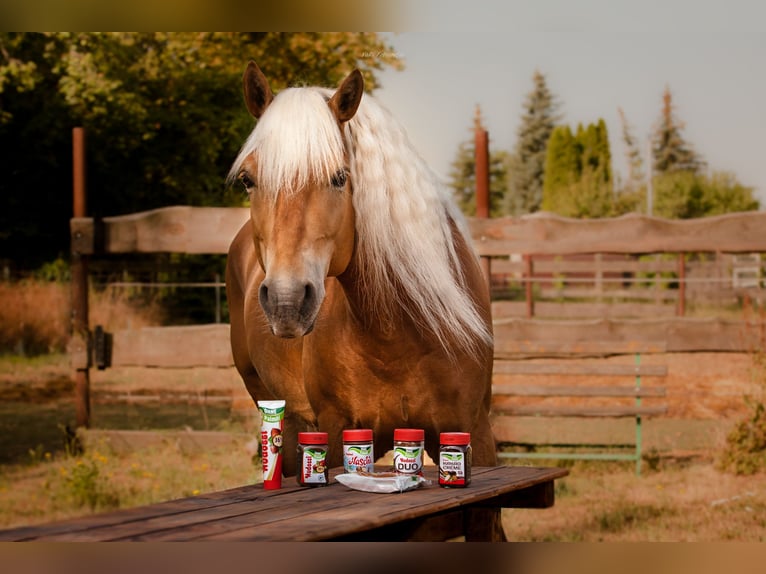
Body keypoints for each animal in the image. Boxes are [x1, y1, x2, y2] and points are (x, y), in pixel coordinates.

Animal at [226, 61, 497, 478]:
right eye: (247, 179)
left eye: (340, 177)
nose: (287, 301)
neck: (396, 335)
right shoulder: (337, 431)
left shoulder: (474, 430)